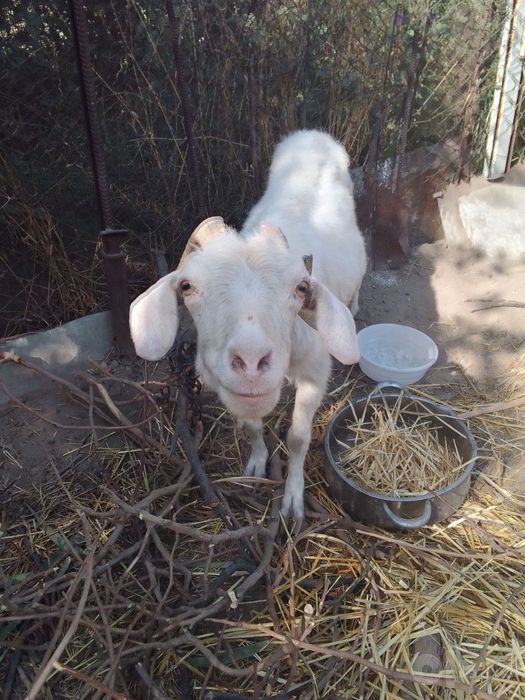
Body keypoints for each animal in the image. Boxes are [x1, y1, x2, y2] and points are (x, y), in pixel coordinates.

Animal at [129, 129, 367, 519]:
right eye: (187, 286)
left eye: (301, 288)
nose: (252, 363)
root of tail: (313, 134)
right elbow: (252, 426)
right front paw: (256, 464)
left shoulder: (315, 372)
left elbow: (298, 438)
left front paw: (292, 500)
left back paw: (357, 304)